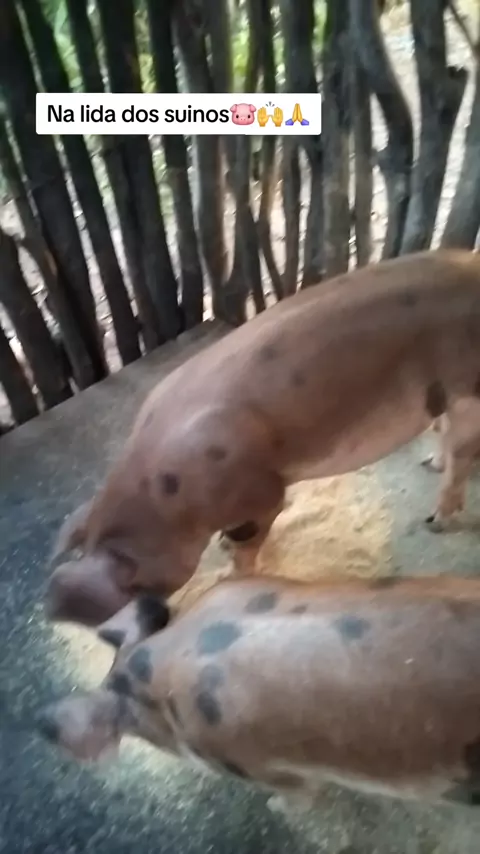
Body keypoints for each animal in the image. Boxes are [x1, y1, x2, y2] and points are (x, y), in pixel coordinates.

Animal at [45, 249, 480, 628]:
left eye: (137, 583)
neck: (164, 501)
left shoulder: (262, 492)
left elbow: (250, 541)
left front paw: (231, 574)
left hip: (469, 390)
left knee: (462, 456)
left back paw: (435, 520)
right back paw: (430, 464)